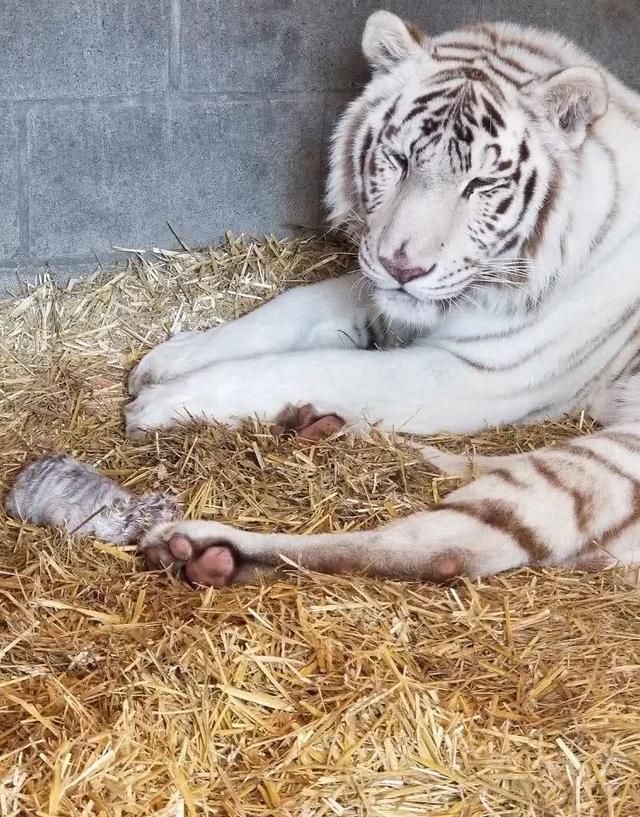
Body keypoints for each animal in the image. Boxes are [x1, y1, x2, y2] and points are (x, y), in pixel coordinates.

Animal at [126, 9, 640, 584]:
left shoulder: (482, 373)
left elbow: (310, 366)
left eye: (481, 184)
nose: (403, 268)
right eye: (399, 160)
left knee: (442, 547)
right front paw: (172, 358)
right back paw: (330, 430)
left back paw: (204, 549)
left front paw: (166, 401)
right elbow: (292, 307)